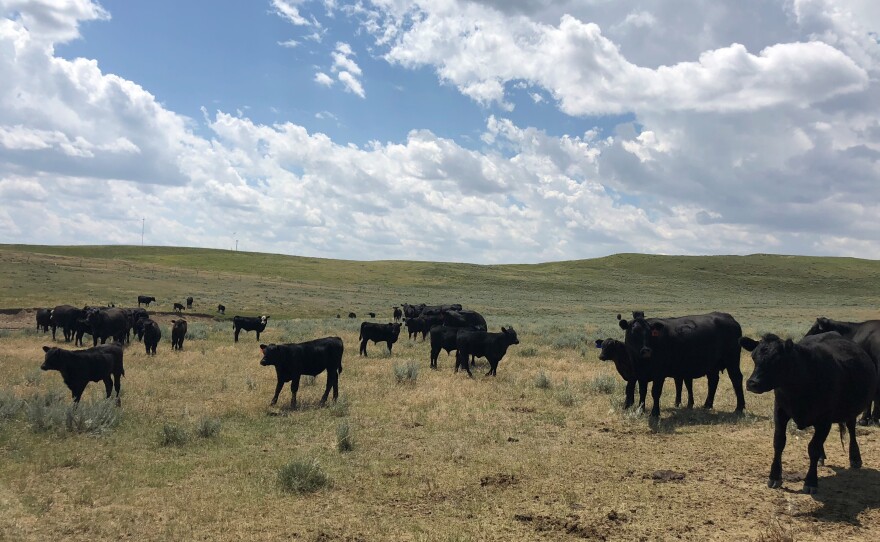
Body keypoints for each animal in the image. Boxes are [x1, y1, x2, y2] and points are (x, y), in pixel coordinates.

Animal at [740, 332, 877, 494]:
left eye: (777, 360)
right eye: (754, 357)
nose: (752, 383)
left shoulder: (824, 420)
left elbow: (813, 448)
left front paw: (811, 481)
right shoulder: (780, 411)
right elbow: (779, 442)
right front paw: (774, 476)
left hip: (851, 410)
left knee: (851, 429)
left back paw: (855, 457)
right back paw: (822, 458)